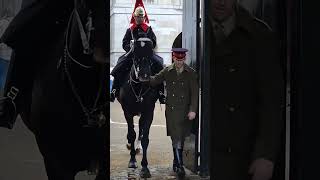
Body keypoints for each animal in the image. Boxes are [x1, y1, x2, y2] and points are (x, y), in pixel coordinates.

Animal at [116, 37, 164, 178]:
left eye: (150, 53)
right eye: (135, 54)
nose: (145, 76)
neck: (138, 88)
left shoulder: (149, 112)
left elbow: (145, 138)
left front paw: (145, 167)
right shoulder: (127, 112)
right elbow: (131, 134)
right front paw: (132, 161)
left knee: (141, 129)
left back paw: (137, 148)